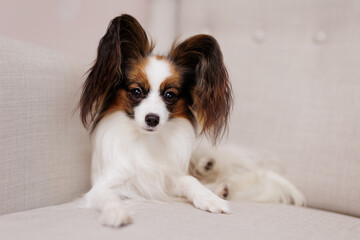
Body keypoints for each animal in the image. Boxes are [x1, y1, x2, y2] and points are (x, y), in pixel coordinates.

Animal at [79, 14, 304, 228]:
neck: (146, 140)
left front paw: (210, 198)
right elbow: (108, 197)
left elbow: (190, 181)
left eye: (170, 95)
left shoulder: (170, 175)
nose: (152, 119)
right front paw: (116, 213)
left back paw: (212, 173)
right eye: (136, 92)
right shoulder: (104, 185)